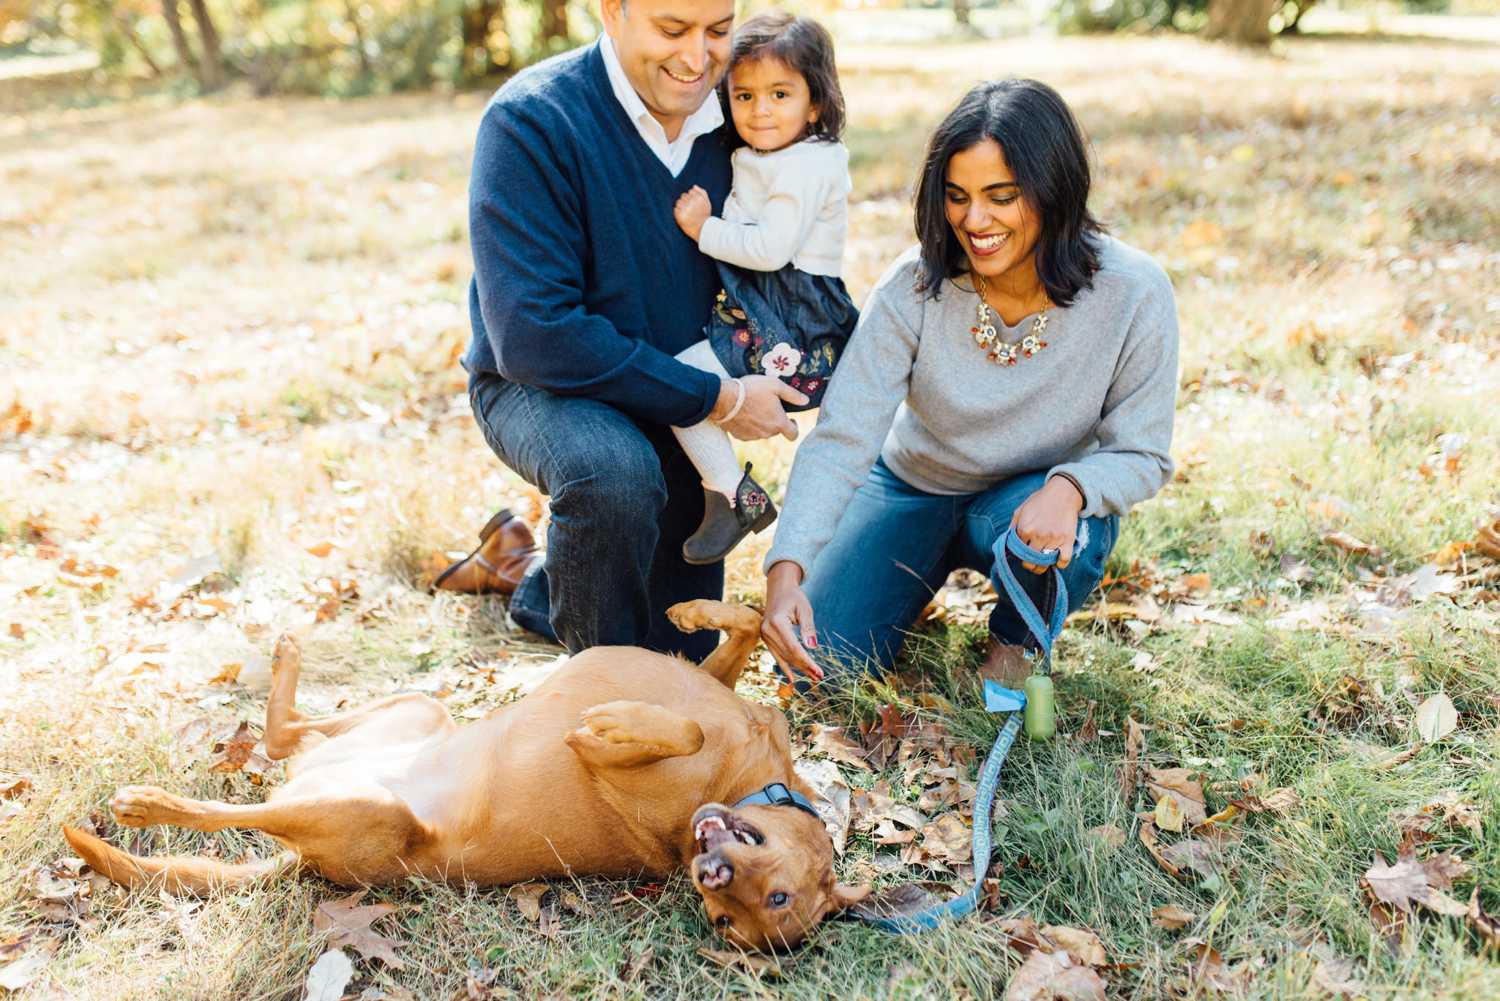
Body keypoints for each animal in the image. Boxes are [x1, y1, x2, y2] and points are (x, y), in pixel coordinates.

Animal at [64, 600, 876, 954]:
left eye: (756, 910)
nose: (709, 874)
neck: (748, 785)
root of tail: (301, 857)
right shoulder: (712, 683)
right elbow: (743, 624)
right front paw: (694, 608)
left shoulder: (619, 764)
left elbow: (678, 726)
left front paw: (612, 724)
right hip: (415, 710)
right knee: (280, 732)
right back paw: (289, 652)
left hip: (366, 808)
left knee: (240, 798)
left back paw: (145, 802)